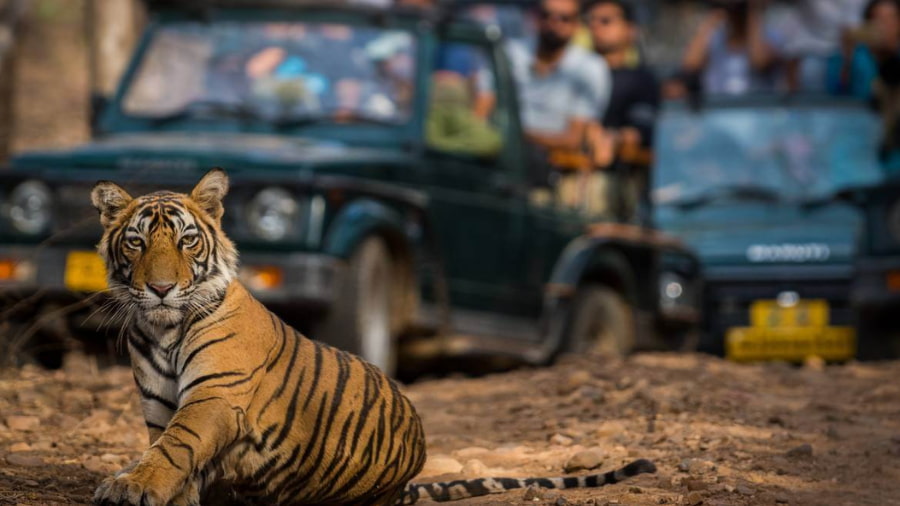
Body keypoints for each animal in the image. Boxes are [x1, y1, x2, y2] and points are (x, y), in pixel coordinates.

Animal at [90, 168, 656, 505]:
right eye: (137, 242)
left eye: (187, 241)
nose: (162, 289)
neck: (162, 329)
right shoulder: (158, 405)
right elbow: (172, 453)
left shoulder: (215, 396)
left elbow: (176, 448)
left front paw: (130, 485)